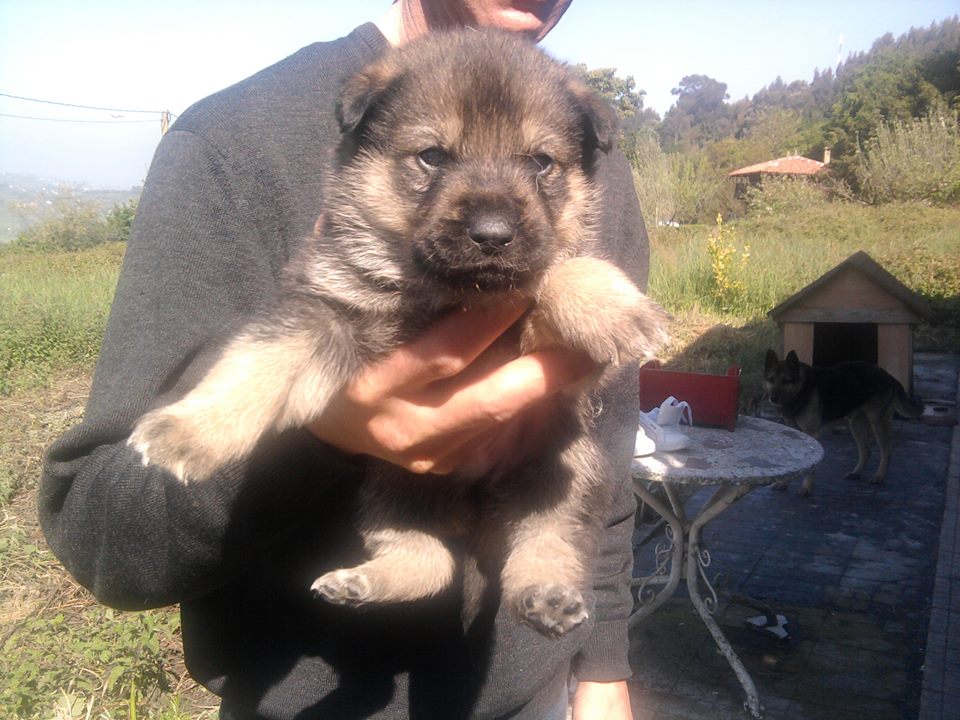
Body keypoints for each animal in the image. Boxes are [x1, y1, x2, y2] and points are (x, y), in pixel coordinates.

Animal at [763, 349, 924, 496]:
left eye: (786, 381)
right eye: (771, 380)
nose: (773, 398)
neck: (801, 390)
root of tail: (889, 376)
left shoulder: (812, 433)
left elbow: (811, 468)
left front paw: (806, 488)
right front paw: (784, 483)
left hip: (877, 422)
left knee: (886, 451)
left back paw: (879, 476)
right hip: (856, 424)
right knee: (866, 451)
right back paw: (856, 473)